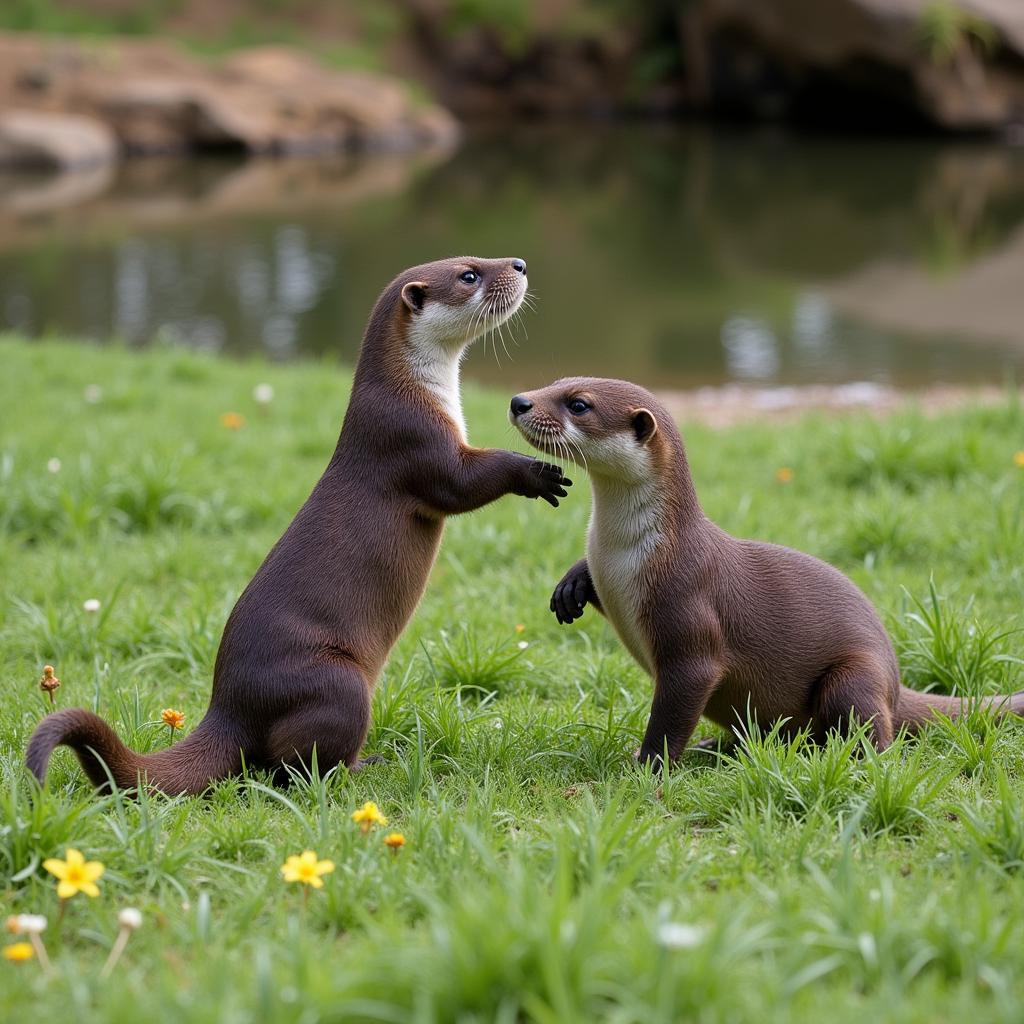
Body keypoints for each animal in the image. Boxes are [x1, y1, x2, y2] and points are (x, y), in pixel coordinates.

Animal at [28, 253, 573, 790]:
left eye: (479, 258)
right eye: (469, 275)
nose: (519, 264)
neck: (419, 394)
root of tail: (230, 706)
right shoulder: (412, 439)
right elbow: (463, 483)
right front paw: (537, 474)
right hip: (339, 682)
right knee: (290, 766)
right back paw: (363, 766)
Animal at [512, 380, 1024, 765]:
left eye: (579, 404)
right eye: (555, 381)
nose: (519, 401)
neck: (622, 556)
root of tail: (897, 683)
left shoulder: (688, 624)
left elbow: (672, 715)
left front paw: (646, 766)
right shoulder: (610, 577)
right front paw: (571, 586)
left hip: (856, 676)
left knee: (874, 734)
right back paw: (717, 746)